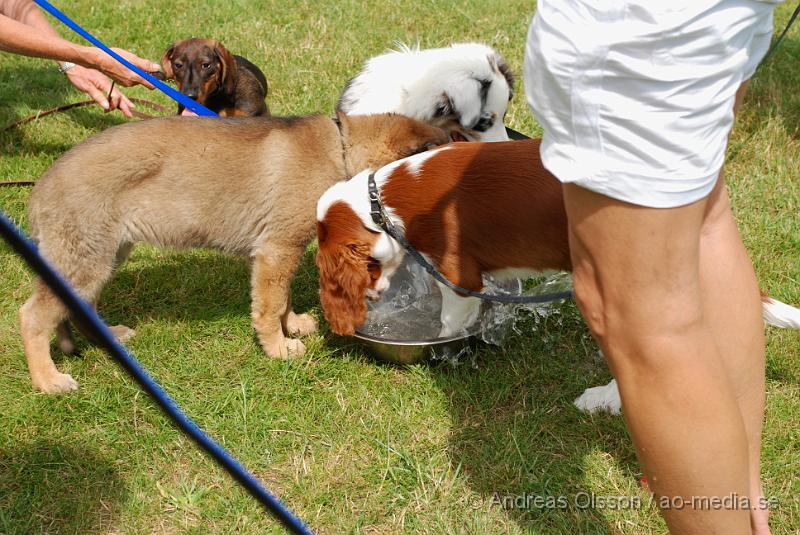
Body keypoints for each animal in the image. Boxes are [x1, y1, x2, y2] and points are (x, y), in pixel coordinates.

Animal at [20, 113, 450, 394]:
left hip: (103, 256)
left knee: (80, 306)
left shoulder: (278, 252)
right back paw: (48, 380)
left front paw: (293, 326)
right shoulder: (277, 249)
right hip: (86, 259)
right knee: (33, 317)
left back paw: (109, 337)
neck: (341, 149)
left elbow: (282, 298)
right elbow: (270, 304)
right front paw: (278, 348)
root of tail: (40, 190)